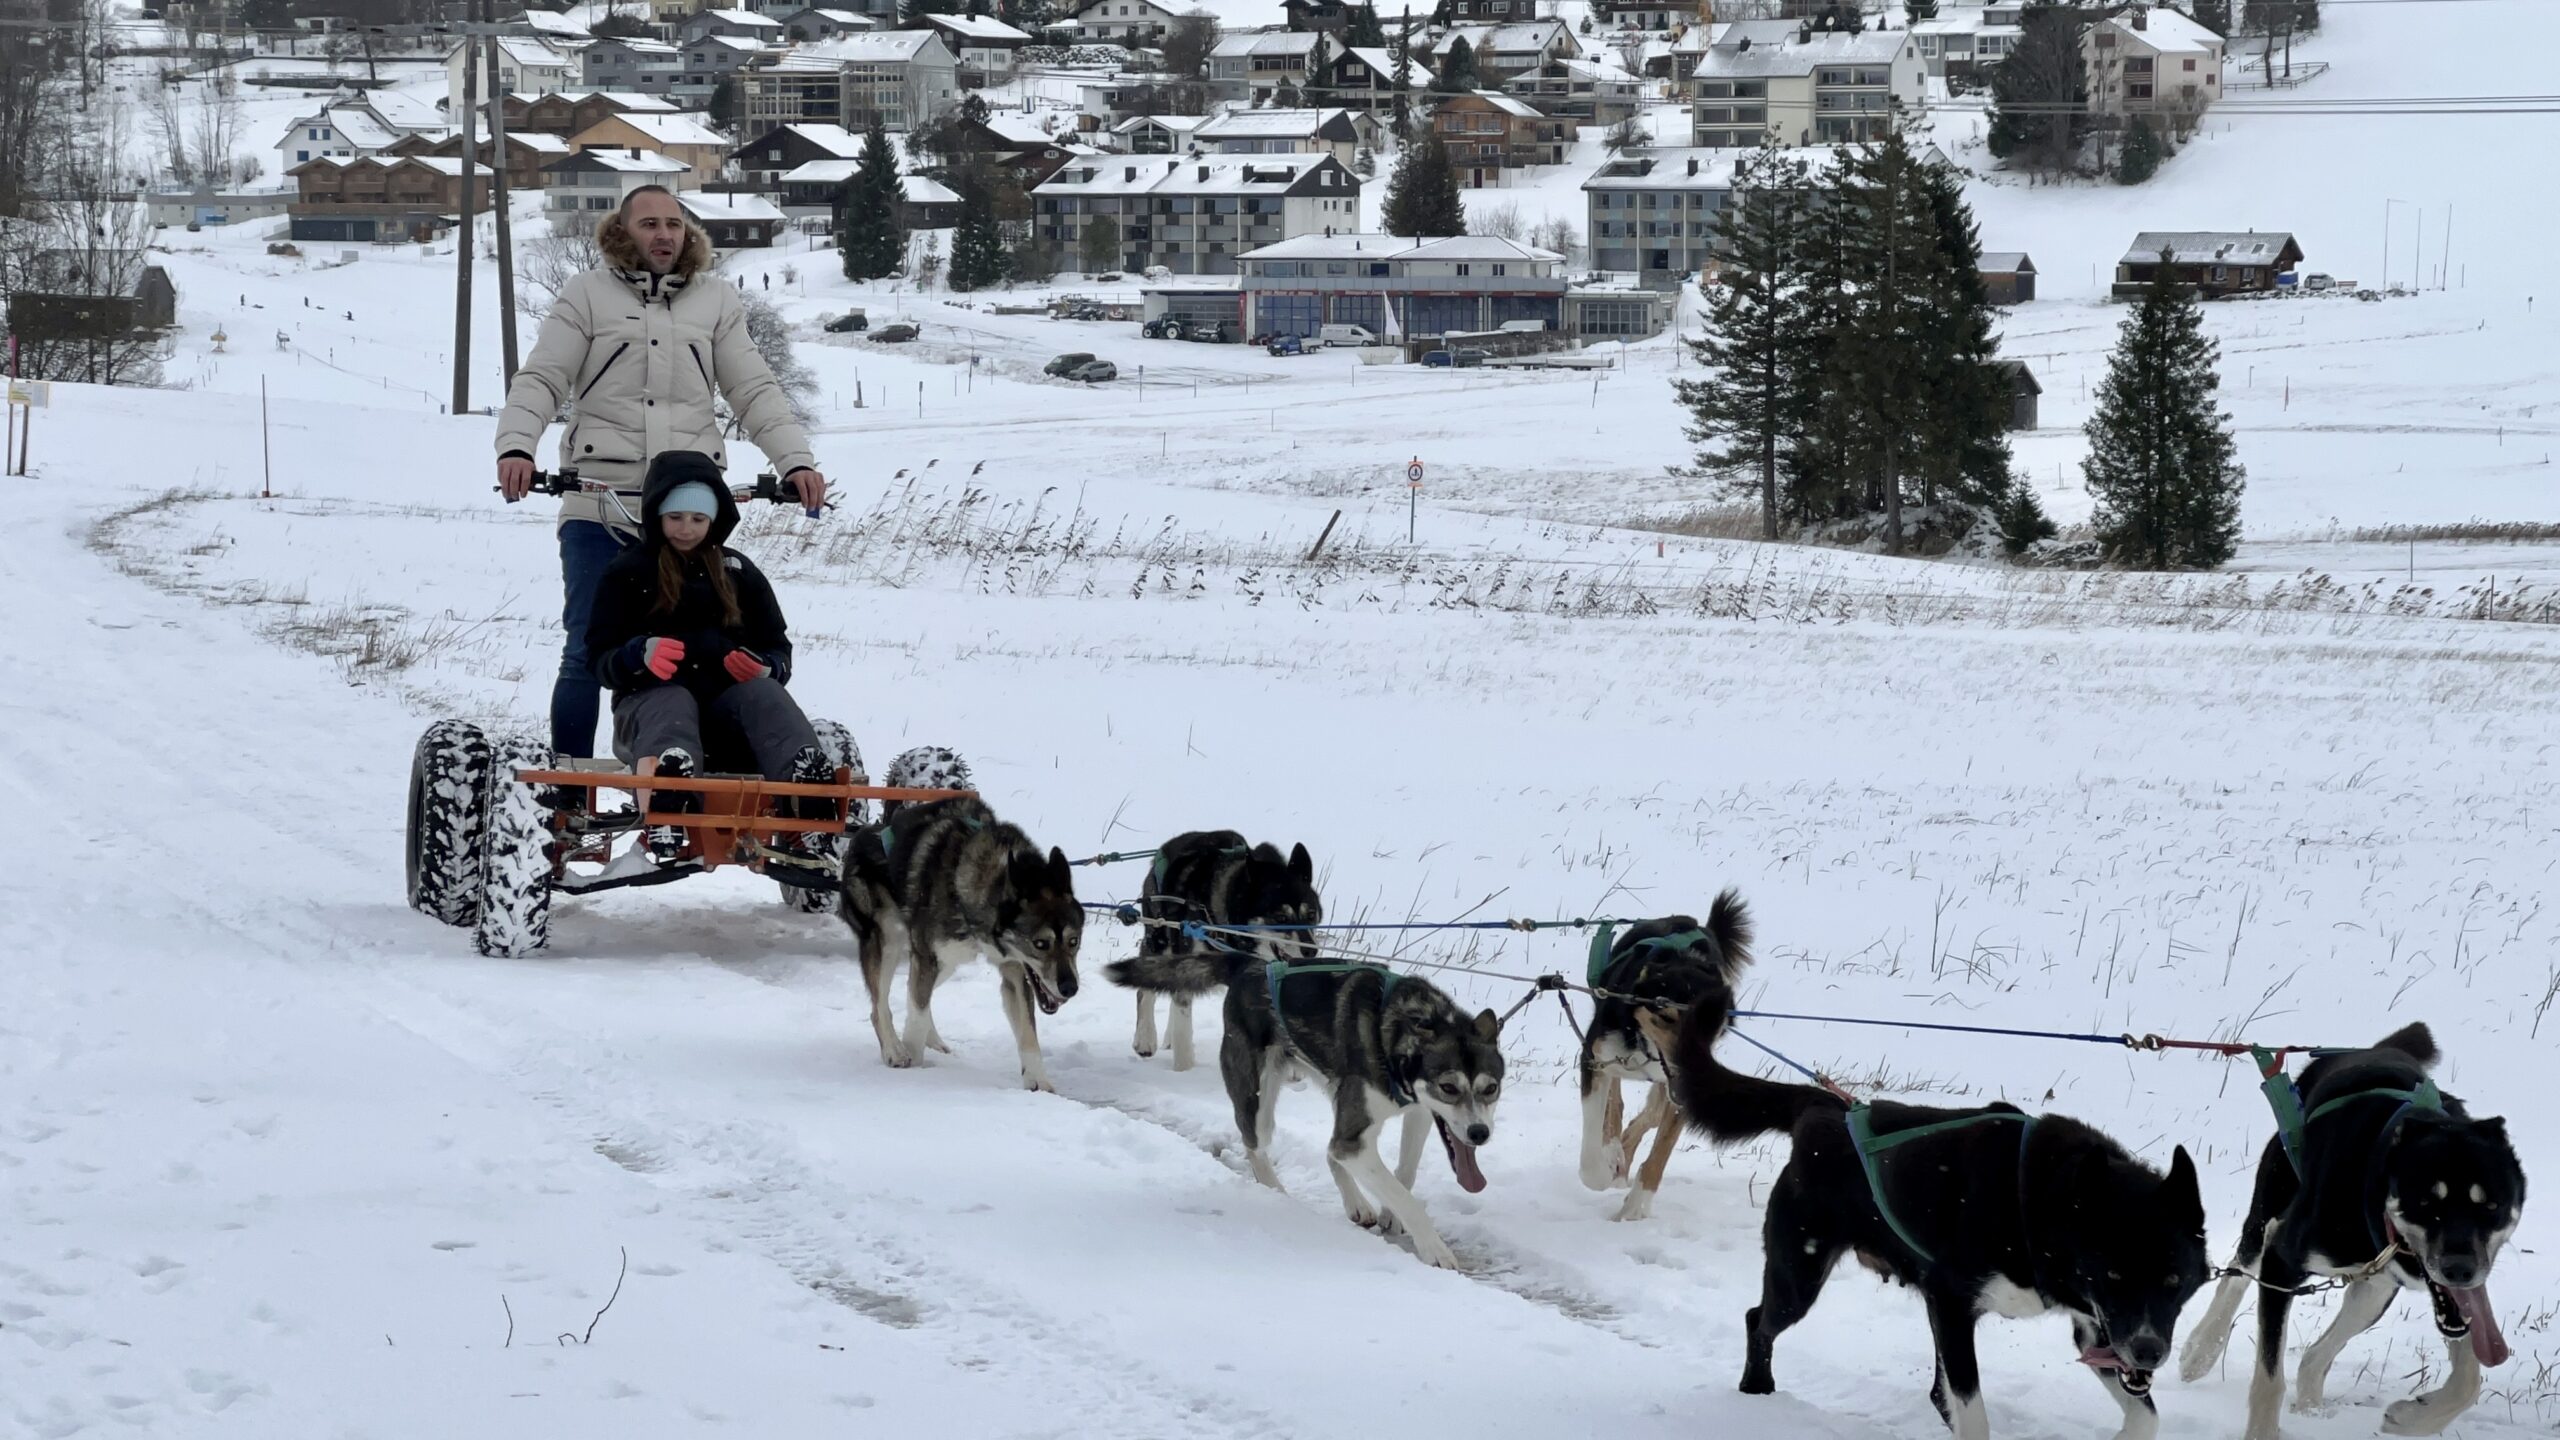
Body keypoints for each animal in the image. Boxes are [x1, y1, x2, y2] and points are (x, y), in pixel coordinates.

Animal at [1648, 983, 2211, 1434]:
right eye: (2113, 1275)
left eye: (2173, 1281)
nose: (2149, 1352)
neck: (2037, 1200)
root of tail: (1823, 1110)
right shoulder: (1954, 1301)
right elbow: (1972, 1410)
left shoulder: (2093, 1326)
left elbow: (2144, 1415)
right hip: (1800, 1274)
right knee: (1758, 1320)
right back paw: (1756, 1390)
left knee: (1936, 1390)